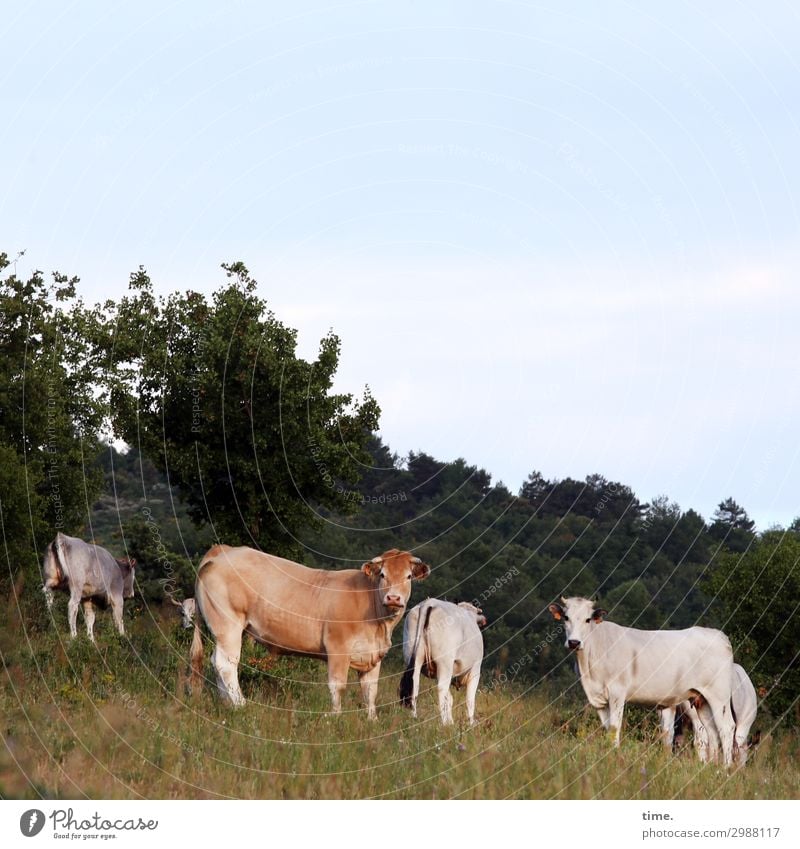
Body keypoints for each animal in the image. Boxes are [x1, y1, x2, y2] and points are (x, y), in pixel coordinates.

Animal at [190, 544, 428, 716]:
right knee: (226, 663)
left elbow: (370, 691)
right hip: (228, 624)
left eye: (408, 576)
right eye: (382, 575)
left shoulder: (373, 655)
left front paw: (372, 721)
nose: (393, 598)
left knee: (217, 662)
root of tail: (223, 550)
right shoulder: (338, 648)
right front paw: (336, 717)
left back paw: (227, 703)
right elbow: (337, 686)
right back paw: (241, 704)